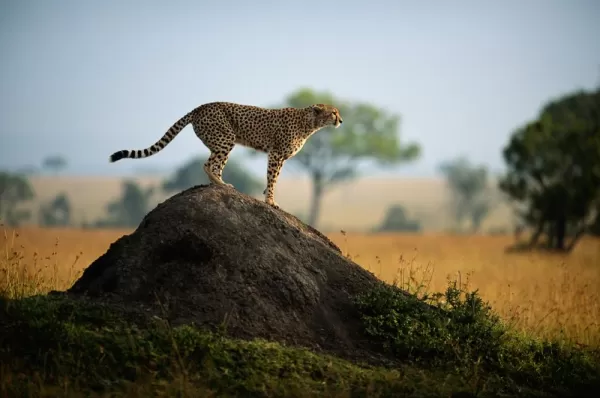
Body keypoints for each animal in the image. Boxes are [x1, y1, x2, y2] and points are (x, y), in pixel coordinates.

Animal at [108, 102, 342, 208]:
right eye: (333, 112)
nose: (341, 120)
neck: (310, 123)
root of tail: (201, 106)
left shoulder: (280, 157)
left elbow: (273, 179)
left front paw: (267, 195)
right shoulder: (276, 154)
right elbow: (273, 178)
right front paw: (270, 201)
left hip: (221, 142)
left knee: (215, 165)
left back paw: (219, 184)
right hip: (225, 139)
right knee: (208, 164)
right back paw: (221, 184)